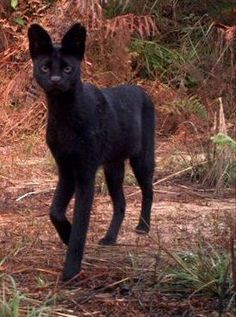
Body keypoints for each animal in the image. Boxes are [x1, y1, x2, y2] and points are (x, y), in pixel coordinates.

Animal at [27, 24, 155, 278]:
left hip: (142, 159)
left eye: (67, 68)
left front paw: (71, 270)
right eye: (45, 67)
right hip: (113, 167)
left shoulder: (85, 173)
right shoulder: (66, 168)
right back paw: (110, 238)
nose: (55, 80)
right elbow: (55, 211)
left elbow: (81, 222)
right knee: (121, 203)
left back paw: (143, 227)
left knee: (148, 191)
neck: (64, 115)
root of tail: (142, 91)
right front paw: (65, 235)